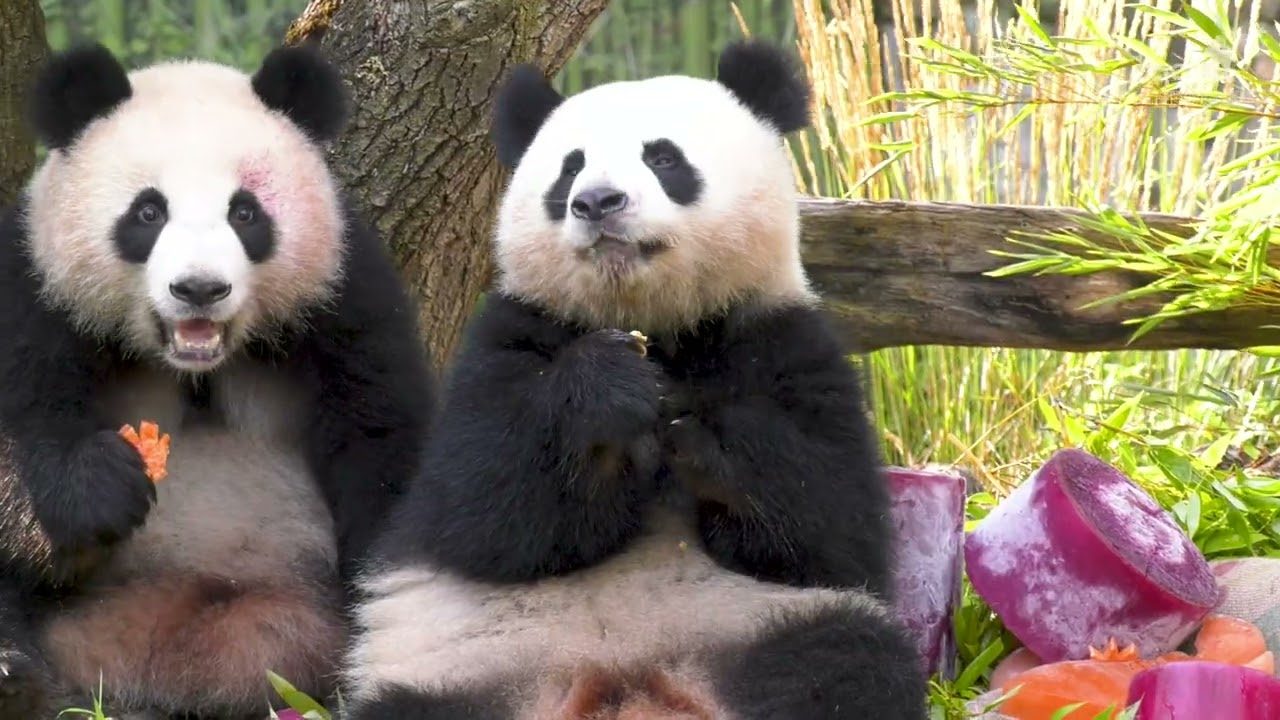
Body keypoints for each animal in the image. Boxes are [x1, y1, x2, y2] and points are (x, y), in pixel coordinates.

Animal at [0, 43, 433, 718]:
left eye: (245, 212)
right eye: (148, 212)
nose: (199, 288)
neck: (195, 364)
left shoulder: (344, 294)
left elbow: (381, 440)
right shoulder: (35, 287)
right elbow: (21, 435)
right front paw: (100, 485)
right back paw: (17, 675)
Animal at [342, 41, 927, 719]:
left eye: (664, 157)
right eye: (568, 169)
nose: (597, 202)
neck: (658, 325)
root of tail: (622, 688)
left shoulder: (786, 338)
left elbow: (830, 525)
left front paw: (704, 433)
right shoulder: (504, 339)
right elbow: (480, 506)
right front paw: (610, 388)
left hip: (759, 628)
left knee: (845, 661)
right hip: (456, 673)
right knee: (409, 705)